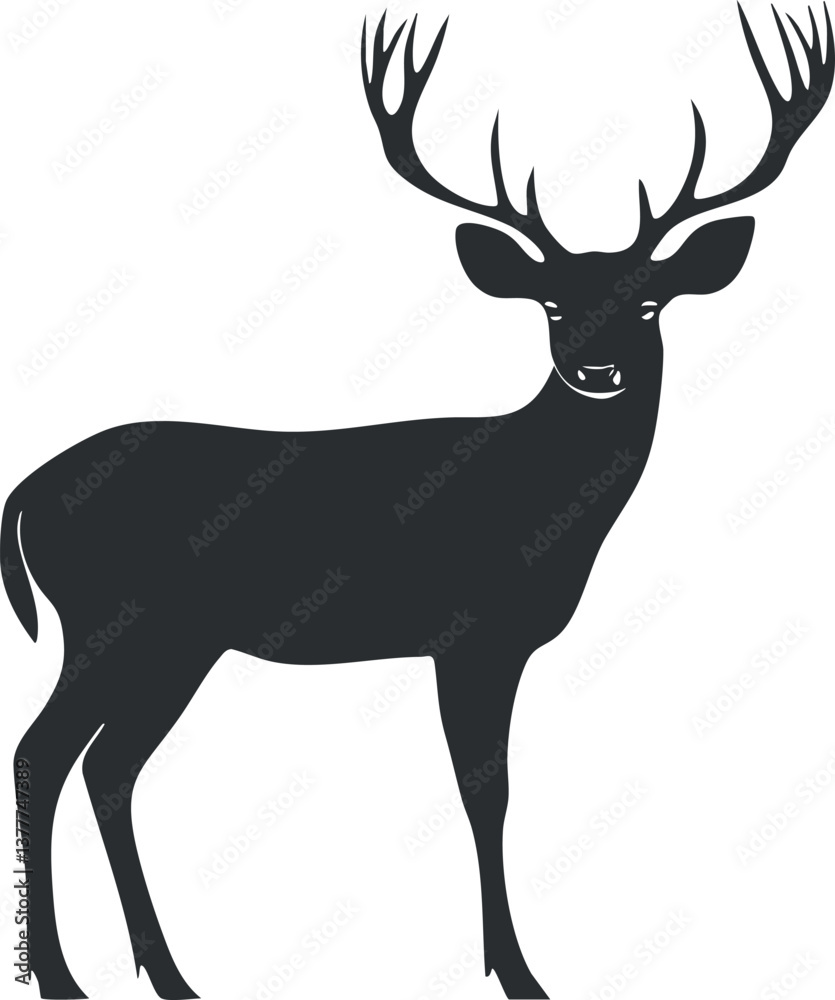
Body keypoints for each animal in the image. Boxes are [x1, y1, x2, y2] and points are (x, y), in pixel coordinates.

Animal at [3, 5, 832, 999]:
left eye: (650, 304)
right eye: (551, 306)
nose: (597, 370)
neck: (541, 506)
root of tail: (26, 492)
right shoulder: (473, 633)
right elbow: (486, 793)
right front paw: (518, 974)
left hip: (174, 641)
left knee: (107, 766)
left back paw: (168, 975)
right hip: (113, 619)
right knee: (46, 752)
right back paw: (62, 975)